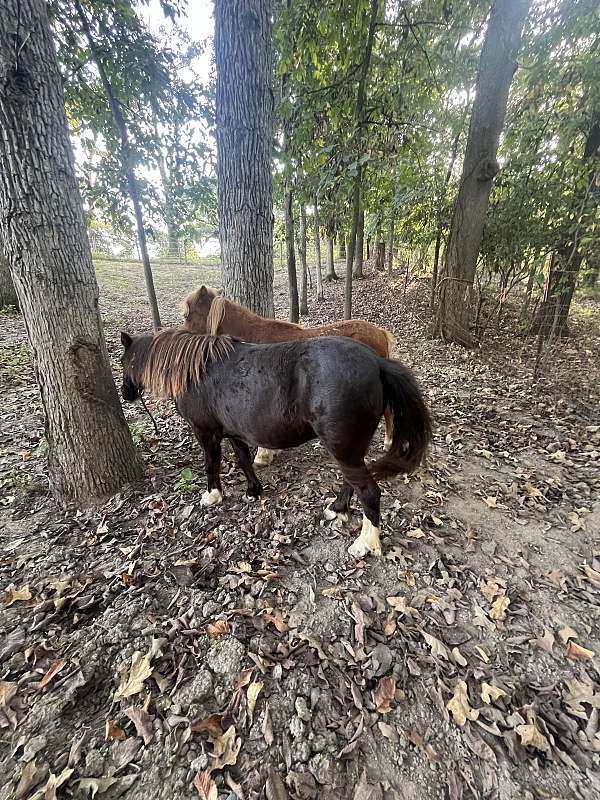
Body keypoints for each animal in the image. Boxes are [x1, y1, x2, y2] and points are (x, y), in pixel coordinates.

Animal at [120, 328, 431, 559]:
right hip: (349, 449)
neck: (196, 372)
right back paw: (336, 508)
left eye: (124, 362)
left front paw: (212, 496)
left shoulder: (205, 432)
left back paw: (365, 543)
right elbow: (243, 459)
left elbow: (211, 463)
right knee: (351, 482)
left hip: (343, 448)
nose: (126, 394)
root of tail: (377, 362)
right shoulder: (235, 433)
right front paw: (253, 491)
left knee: (369, 492)